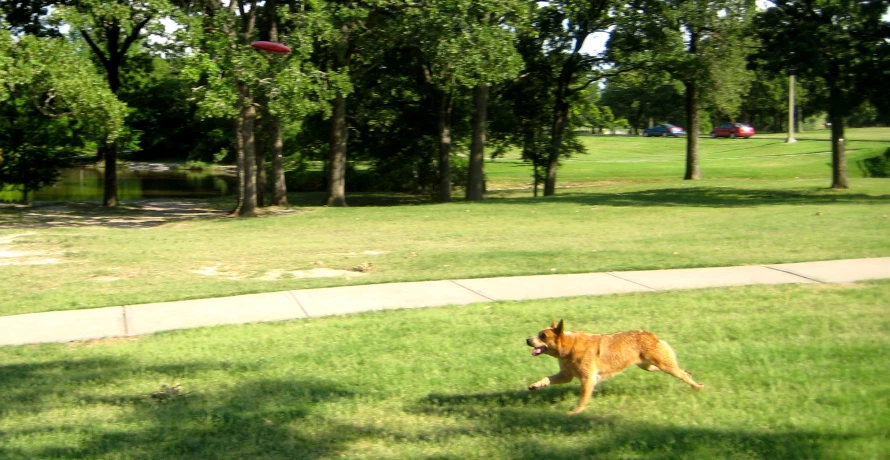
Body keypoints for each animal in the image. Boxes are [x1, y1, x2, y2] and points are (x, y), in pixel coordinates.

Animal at [528, 320, 700, 414]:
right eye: (538, 334)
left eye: (543, 336)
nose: (527, 339)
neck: (568, 346)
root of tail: (652, 335)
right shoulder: (566, 375)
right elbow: (547, 378)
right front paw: (536, 385)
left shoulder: (588, 379)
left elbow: (583, 399)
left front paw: (575, 412)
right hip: (649, 365)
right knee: (679, 370)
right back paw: (689, 373)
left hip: (663, 365)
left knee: (681, 374)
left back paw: (697, 386)